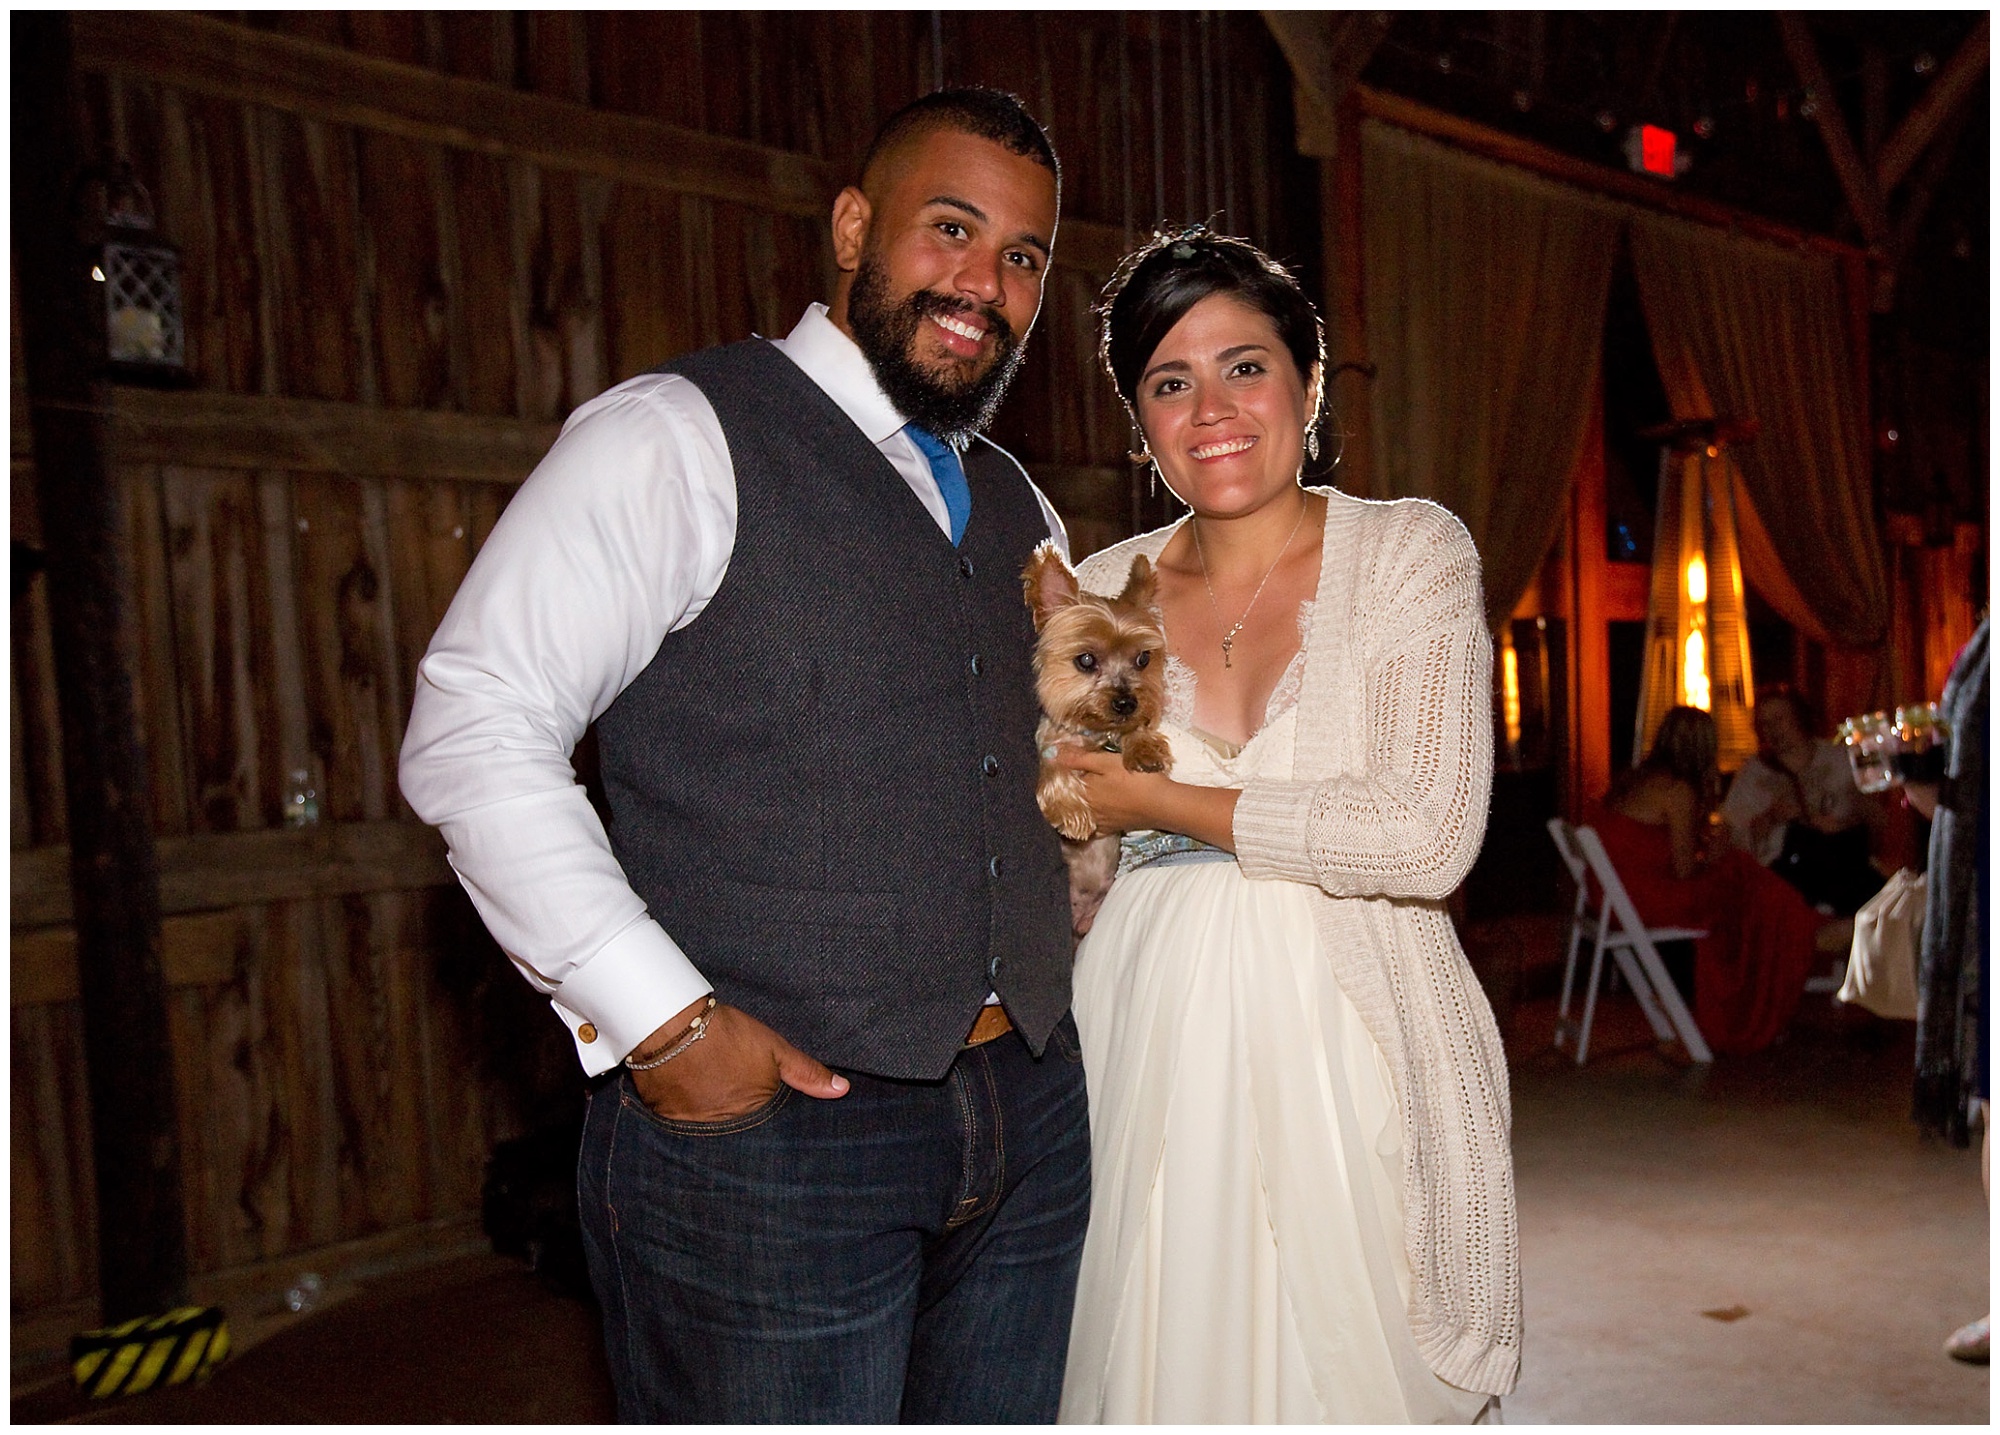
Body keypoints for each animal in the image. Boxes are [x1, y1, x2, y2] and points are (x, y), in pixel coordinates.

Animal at [1016, 543, 1168, 847]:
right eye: (1086, 660)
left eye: (1143, 658)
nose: (1126, 703)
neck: (1091, 733)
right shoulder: (1050, 747)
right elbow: (1052, 769)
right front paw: (1070, 811)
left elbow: (1135, 730)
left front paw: (1145, 747)